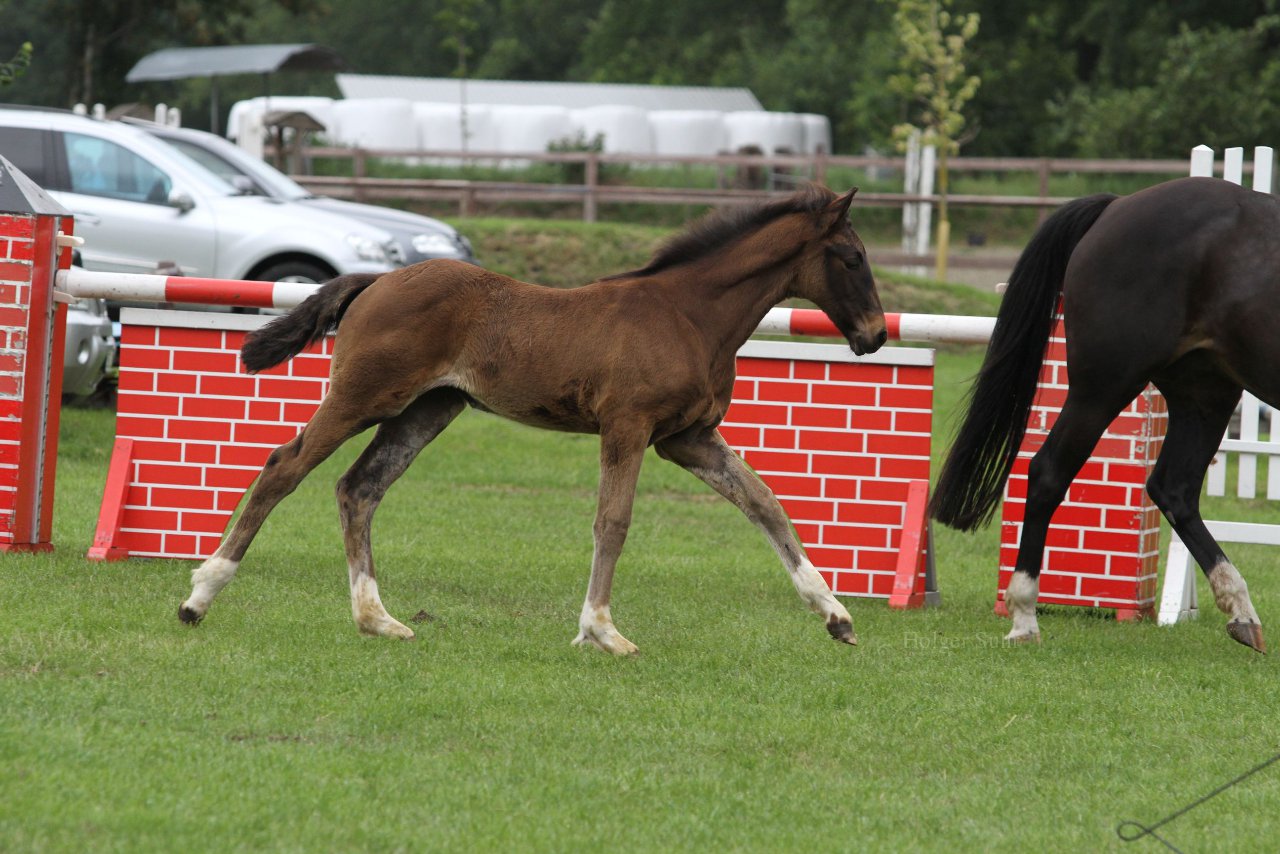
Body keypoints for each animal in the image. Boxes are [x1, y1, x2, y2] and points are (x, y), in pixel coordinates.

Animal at [177, 186, 890, 655]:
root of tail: (376, 280)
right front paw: (601, 630)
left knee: (359, 488)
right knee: (285, 468)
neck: (688, 316)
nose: (875, 335)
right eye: (852, 257)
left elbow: (764, 504)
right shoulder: (628, 428)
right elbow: (613, 521)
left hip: (426, 410)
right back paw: (199, 595)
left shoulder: (688, 438)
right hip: (364, 396)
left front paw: (835, 615)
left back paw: (378, 619)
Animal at [931, 176, 1280, 650]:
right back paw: (1024, 616)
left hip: (1205, 394)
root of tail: (1116, 206)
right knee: (1048, 472)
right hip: (1104, 387)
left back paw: (1241, 612)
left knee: (1174, 489)